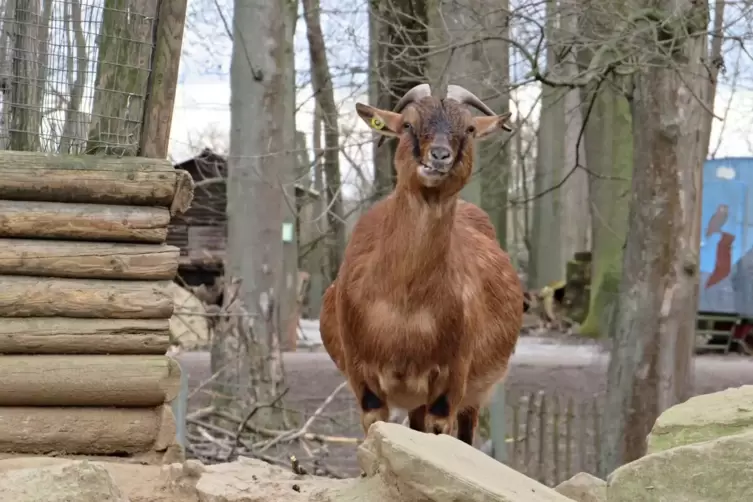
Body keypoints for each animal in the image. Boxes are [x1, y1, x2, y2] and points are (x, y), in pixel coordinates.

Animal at [318, 83, 524, 448]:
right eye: (407, 125)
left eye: (469, 129)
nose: (438, 156)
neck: (405, 307)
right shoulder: (364, 380)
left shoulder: (451, 379)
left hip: (473, 394)